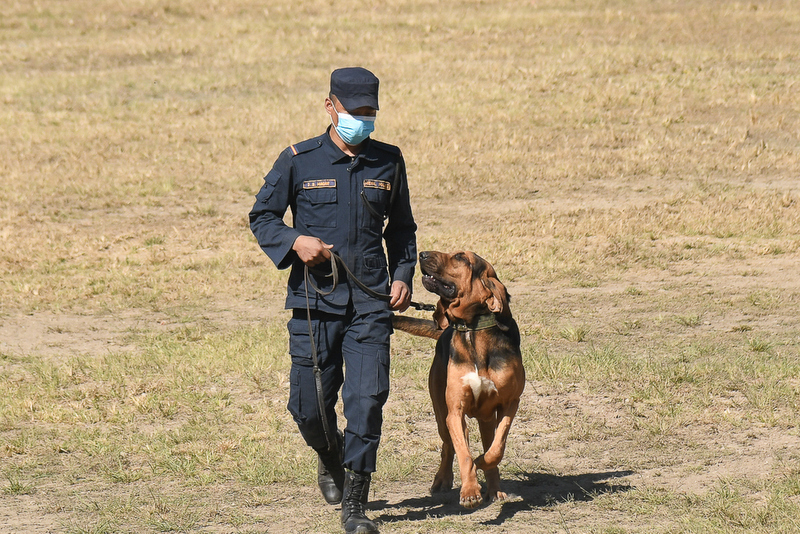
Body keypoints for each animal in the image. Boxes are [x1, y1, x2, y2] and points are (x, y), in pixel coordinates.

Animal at [392, 252, 524, 510]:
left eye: (461, 258)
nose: (421, 254)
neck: (473, 329)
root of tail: (444, 330)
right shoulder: (455, 410)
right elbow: (463, 452)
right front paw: (470, 491)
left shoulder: (510, 403)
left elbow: (497, 449)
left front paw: (481, 462)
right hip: (441, 412)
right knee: (447, 445)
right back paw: (442, 480)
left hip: (485, 418)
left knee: (488, 444)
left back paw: (495, 489)